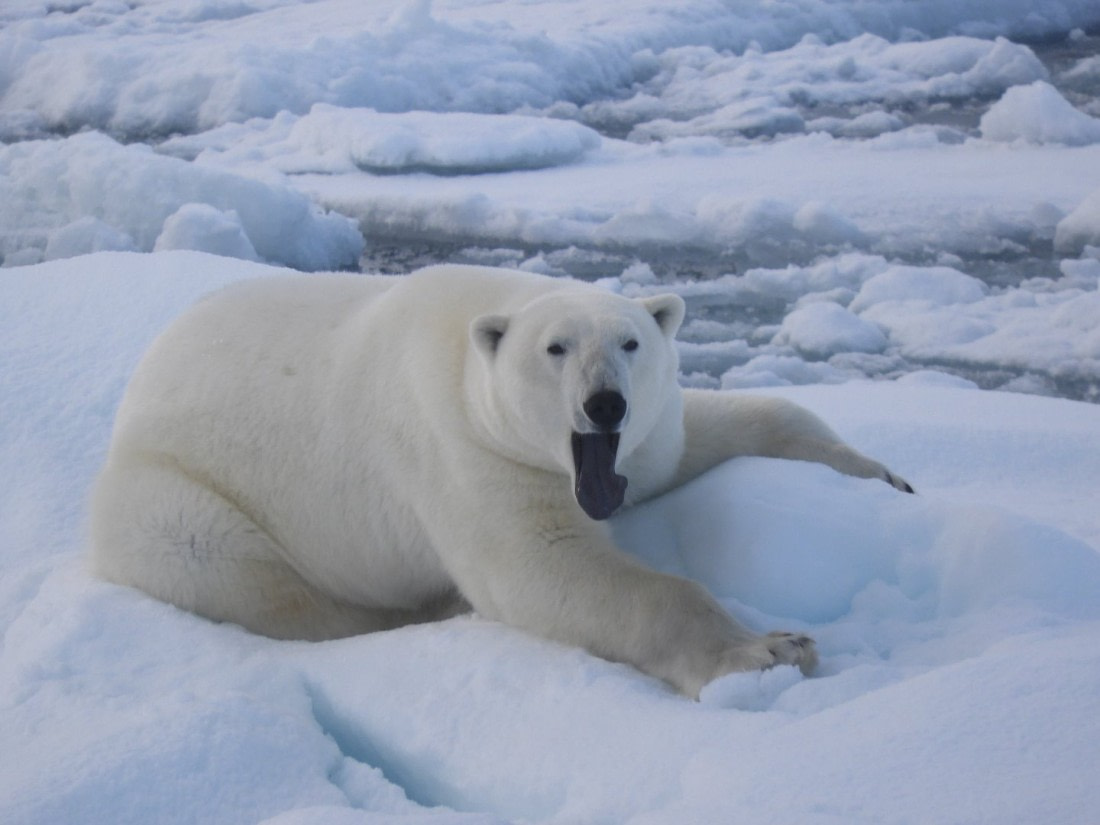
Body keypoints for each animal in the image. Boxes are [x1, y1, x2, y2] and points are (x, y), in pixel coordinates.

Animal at [90, 264, 913, 698]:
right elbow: (538, 568)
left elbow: (729, 425)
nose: (604, 402)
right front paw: (770, 650)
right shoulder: (468, 448)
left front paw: (887, 476)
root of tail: (132, 387)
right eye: (555, 348)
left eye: (631, 341)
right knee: (262, 583)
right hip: (176, 500)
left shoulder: (642, 445)